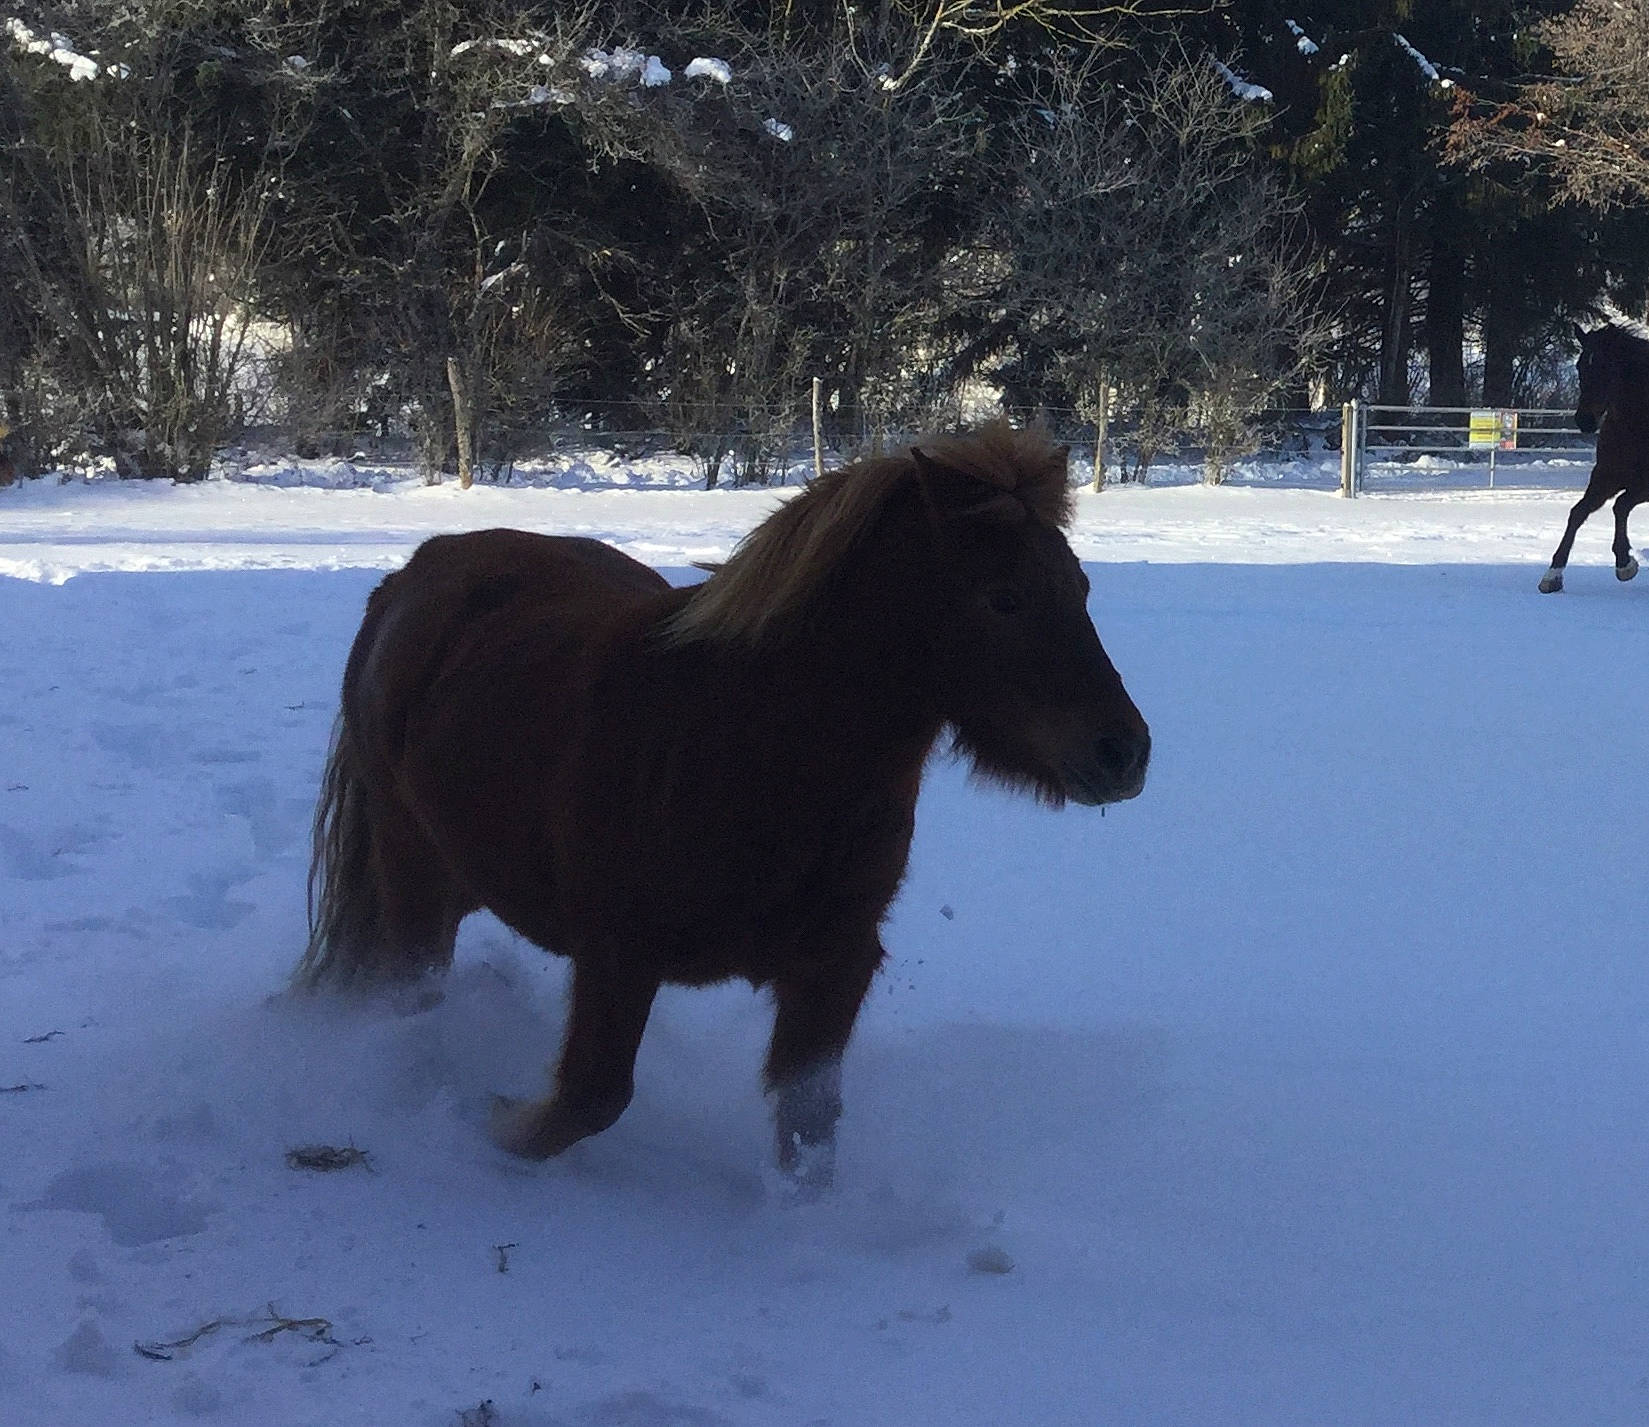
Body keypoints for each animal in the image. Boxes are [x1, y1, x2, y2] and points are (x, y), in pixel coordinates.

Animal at [296, 421, 1150, 1190]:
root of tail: (416, 572)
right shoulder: (617, 953)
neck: (755, 750)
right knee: (410, 993)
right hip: (410, 865)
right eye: (1003, 598)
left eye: (1079, 587)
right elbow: (590, 1097)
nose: (1125, 752)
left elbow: (808, 1135)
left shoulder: (832, 965)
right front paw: (499, 1124)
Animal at [1538, 320, 1649, 593]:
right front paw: (1552, 575)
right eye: (1580, 366)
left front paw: (1625, 563)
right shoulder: (1605, 477)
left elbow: (1620, 505)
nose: (1585, 420)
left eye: (1606, 366)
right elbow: (1578, 512)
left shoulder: (1644, 485)